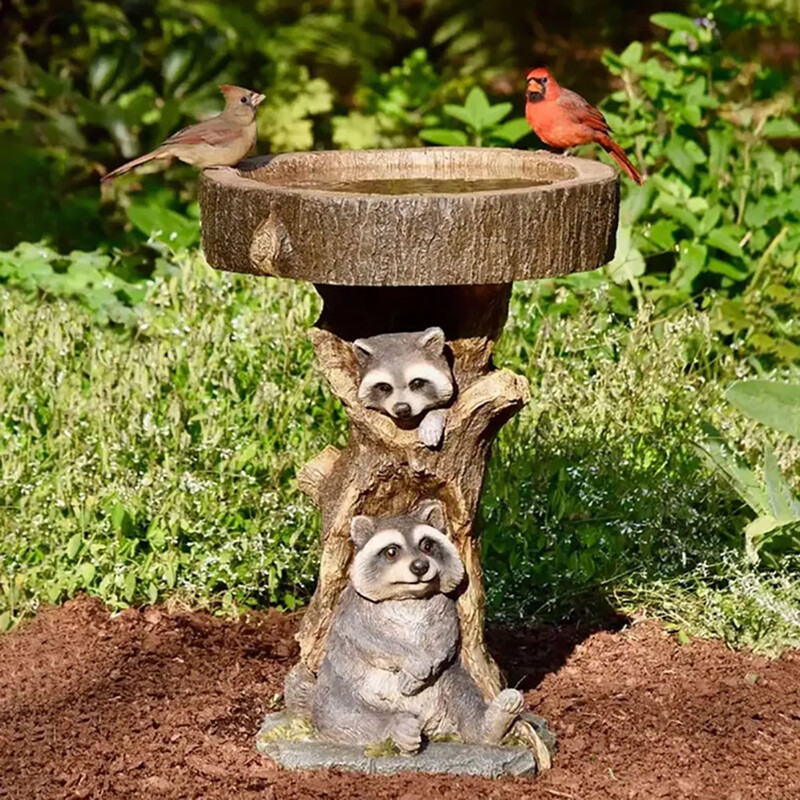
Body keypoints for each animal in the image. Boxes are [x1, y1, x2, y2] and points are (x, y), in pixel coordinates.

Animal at [284, 500, 524, 754]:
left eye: (427, 545)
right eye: (391, 551)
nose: (420, 566)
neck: (407, 595)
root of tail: (429, 723)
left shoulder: (443, 604)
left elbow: (446, 634)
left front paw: (426, 662)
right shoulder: (353, 607)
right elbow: (369, 639)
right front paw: (414, 662)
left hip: (451, 680)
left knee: (463, 695)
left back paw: (492, 722)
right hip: (336, 690)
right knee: (342, 715)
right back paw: (397, 727)